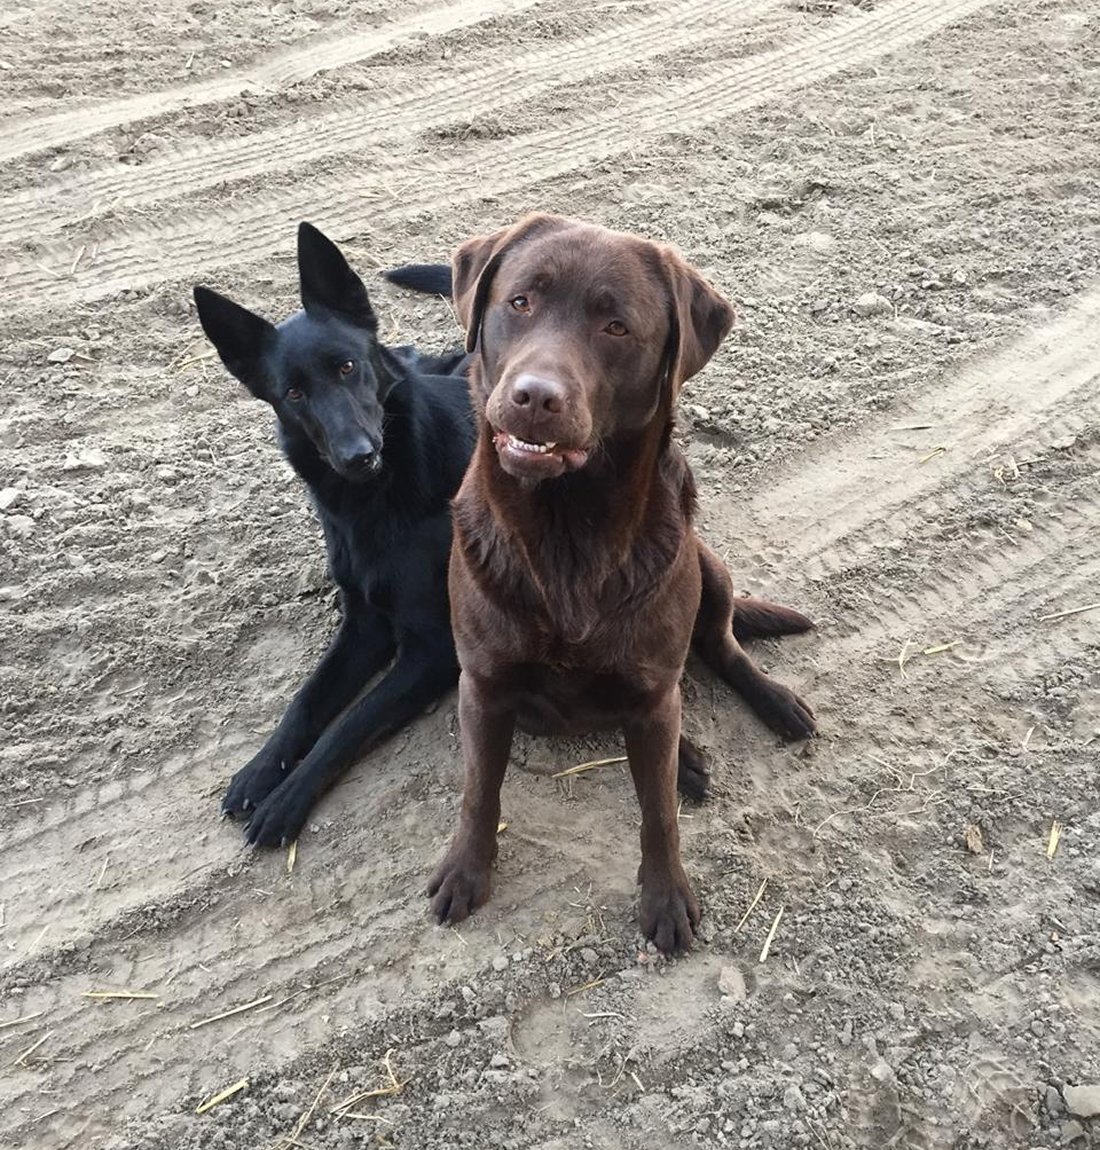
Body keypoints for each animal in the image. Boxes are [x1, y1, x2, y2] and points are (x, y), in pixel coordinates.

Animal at [193, 222, 475, 847]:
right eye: (293, 393)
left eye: (347, 367)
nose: (356, 455)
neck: (376, 502)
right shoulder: (364, 625)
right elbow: (306, 702)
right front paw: (260, 769)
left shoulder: (433, 648)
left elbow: (347, 726)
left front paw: (286, 799)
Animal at [389, 214, 816, 951]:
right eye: (520, 301)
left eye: (616, 327)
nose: (535, 397)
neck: (567, 530)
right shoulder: (485, 686)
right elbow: (479, 792)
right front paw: (466, 871)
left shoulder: (651, 685)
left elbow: (658, 812)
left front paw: (667, 895)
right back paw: (689, 755)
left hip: (707, 567)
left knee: (721, 646)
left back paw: (770, 705)